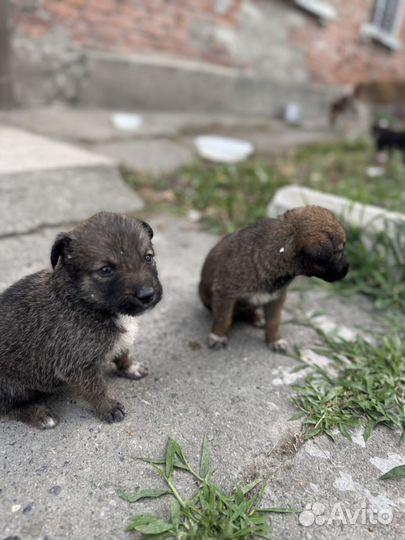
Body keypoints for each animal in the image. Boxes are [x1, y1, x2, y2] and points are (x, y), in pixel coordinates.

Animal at [0, 213, 161, 428]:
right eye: (106, 270)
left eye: (148, 257)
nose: (147, 295)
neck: (84, 302)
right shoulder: (78, 365)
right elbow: (96, 388)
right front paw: (108, 408)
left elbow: (123, 353)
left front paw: (130, 367)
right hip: (11, 387)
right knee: (10, 406)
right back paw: (39, 414)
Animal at [198, 206, 348, 350]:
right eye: (340, 251)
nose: (347, 269)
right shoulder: (225, 293)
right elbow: (223, 319)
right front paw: (218, 336)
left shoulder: (276, 298)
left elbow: (274, 322)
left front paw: (275, 340)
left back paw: (257, 317)